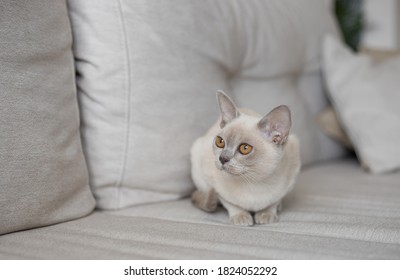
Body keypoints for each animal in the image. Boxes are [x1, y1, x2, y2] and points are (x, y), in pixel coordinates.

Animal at [191, 91, 300, 226]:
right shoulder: (213, 183)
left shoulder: (289, 182)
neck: (254, 182)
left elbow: (273, 202)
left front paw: (266, 214)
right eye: (220, 142)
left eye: (245, 148)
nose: (222, 158)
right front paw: (241, 217)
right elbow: (231, 204)